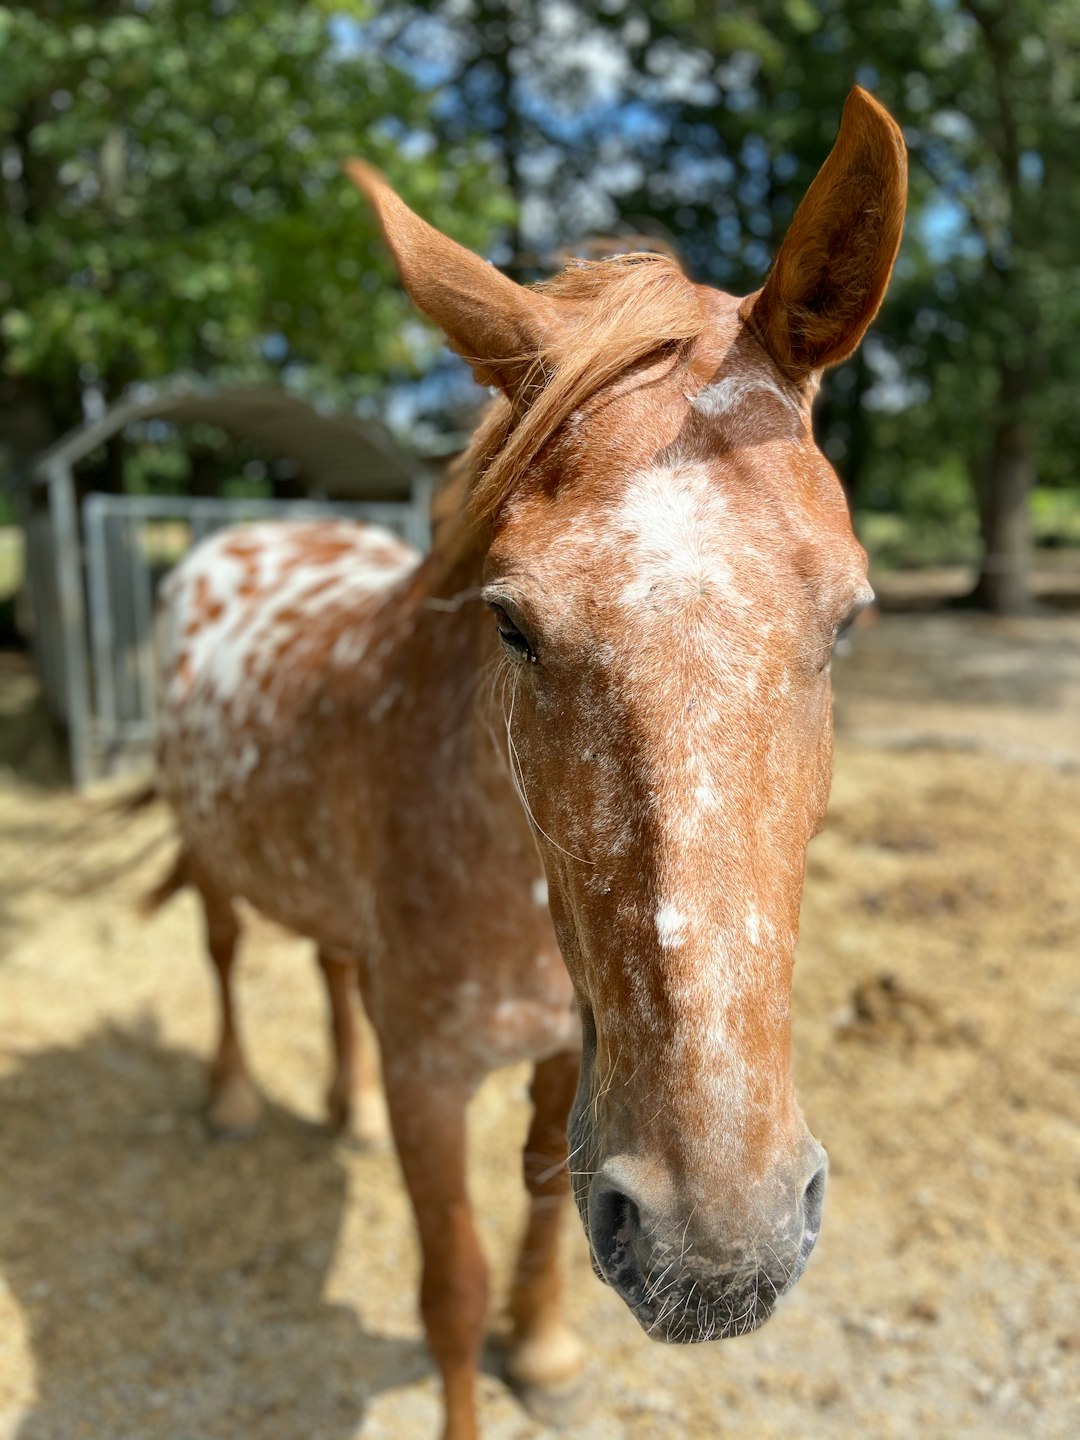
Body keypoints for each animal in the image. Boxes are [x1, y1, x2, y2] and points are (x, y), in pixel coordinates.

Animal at [152, 90, 910, 1440]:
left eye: (850, 619)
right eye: (511, 624)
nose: (722, 1250)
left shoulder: (571, 1055)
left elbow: (550, 1217)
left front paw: (546, 1350)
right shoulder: (432, 1075)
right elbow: (450, 1290)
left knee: (330, 963)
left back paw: (339, 1110)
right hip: (211, 850)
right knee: (230, 951)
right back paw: (235, 1100)